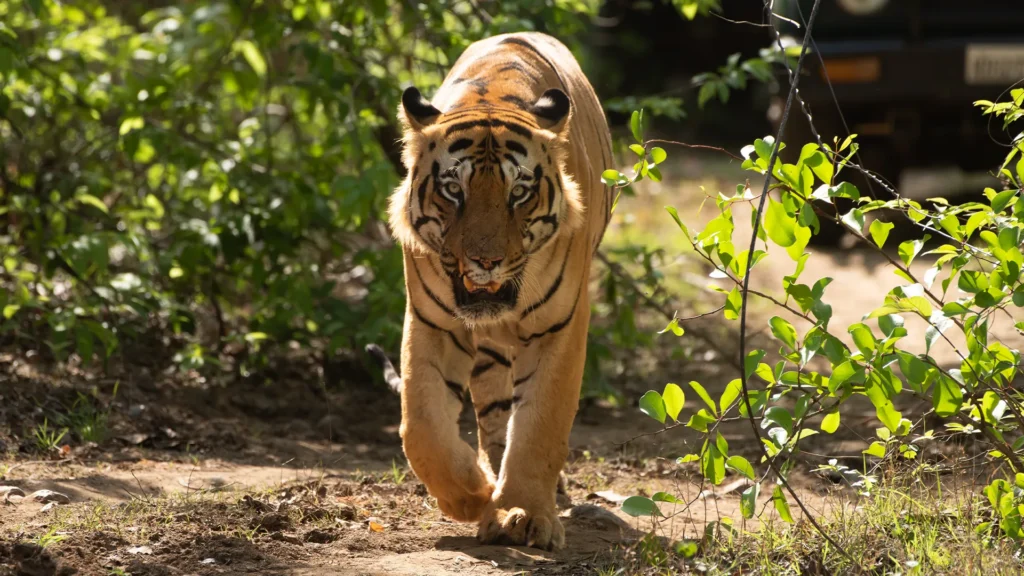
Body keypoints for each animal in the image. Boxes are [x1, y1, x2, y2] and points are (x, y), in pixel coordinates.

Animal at [373, 31, 612, 550]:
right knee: (495, 416)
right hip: (488, 358)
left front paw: (523, 513)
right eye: (453, 191)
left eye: (518, 193)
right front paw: (471, 496)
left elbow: (542, 424)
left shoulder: (560, 326)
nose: (486, 262)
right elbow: (421, 425)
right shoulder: (431, 322)